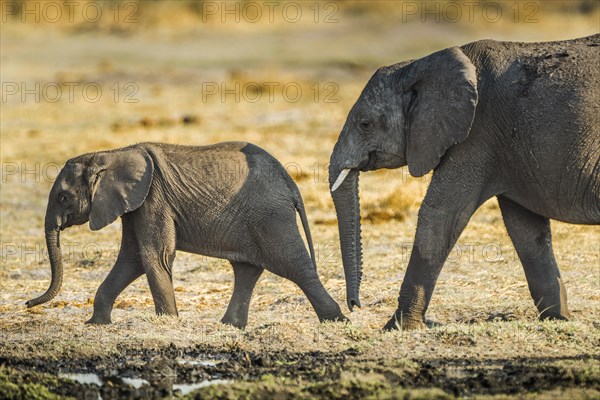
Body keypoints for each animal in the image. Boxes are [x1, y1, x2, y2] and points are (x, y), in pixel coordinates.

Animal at [27, 142, 346, 326]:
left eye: (63, 198)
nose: (28, 303)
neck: (110, 154)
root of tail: (291, 185)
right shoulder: (135, 203)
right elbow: (132, 258)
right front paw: (95, 324)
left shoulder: (153, 196)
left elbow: (154, 255)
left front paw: (168, 322)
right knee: (247, 269)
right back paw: (228, 326)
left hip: (271, 216)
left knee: (294, 265)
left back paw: (336, 321)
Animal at [330, 34, 596, 330]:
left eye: (365, 124)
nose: (353, 306)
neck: (420, 65)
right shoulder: (509, 150)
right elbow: (526, 230)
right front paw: (559, 319)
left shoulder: (476, 133)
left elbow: (440, 215)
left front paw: (397, 327)